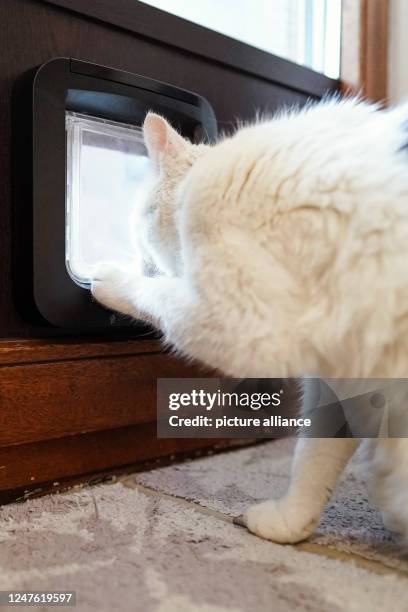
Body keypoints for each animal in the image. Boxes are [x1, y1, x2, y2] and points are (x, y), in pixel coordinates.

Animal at [93, 100, 408, 544]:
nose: (139, 259)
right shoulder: (336, 380)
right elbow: (312, 454)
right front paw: (291, 522)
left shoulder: (237, 321)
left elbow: (157, 295)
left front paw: (113, 278)